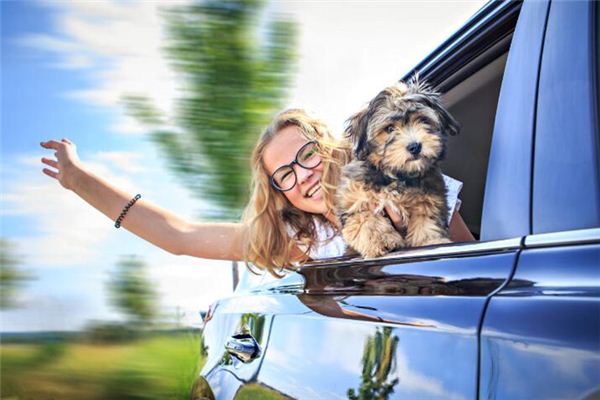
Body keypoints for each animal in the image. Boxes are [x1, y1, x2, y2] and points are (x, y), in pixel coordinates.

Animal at [338, 79, 460, 258]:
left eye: (423, 120)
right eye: (389, 128)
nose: (415, 146)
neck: (397, 175)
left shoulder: (428, 198)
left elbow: (426, 222)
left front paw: (430, 242)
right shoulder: (356, 199)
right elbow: (364, 218)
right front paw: (382, 241)